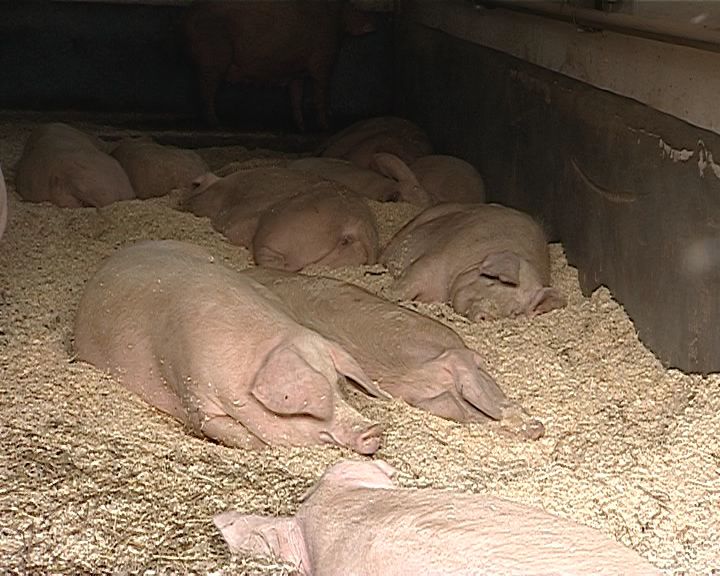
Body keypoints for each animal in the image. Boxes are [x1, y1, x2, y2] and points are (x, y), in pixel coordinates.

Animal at [183, 1, 375, 130]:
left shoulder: (297, 72)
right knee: (207, 91)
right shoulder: (323, 61)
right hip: (214, 58)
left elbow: (296, 97)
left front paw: (301, 126)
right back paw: (217, 124)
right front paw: (327, 127)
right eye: (354, 6)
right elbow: (321, 94)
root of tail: (189, 15)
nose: (372, 22)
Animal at [381, 203, 566, 320]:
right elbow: (409, 283)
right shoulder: (433, 260)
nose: (487, 315)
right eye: (493, 282)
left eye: (514, 311)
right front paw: (387, 294)